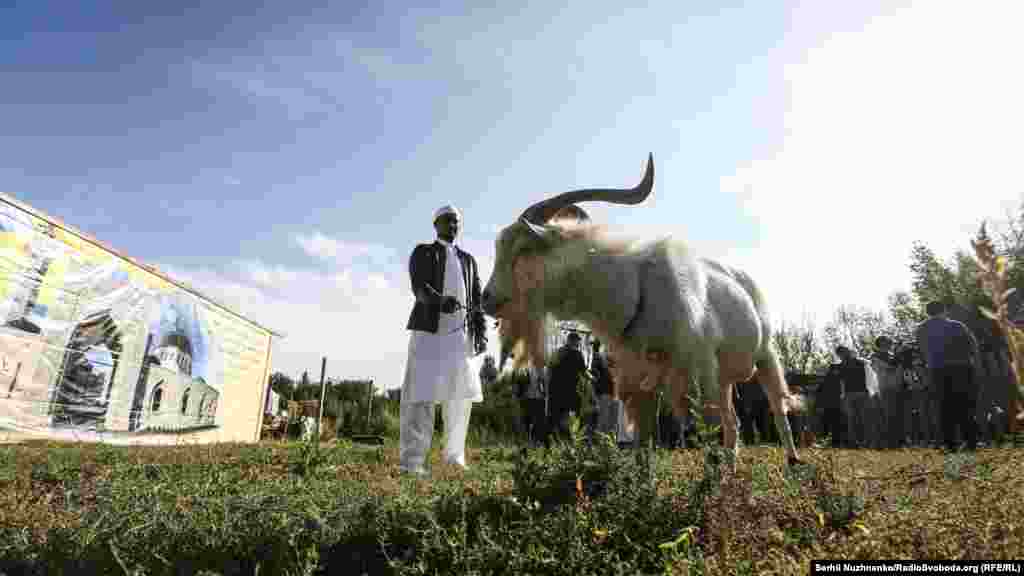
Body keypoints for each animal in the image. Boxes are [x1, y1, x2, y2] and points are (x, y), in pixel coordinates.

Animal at [481, 153, 806, 467]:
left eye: (523, 249)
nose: (486, 299)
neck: (636, 290)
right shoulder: (638, 386)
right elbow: (644, 444)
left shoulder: (695, 378)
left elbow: (708, 438)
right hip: (723, 380)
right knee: (733, 423)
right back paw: (734, 470)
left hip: (765, 355)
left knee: (776, 408)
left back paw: (792, 461)